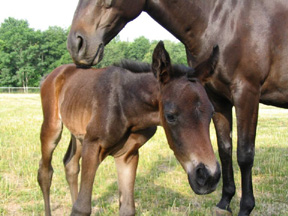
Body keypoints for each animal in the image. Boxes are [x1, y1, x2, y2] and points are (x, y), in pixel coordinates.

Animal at [38, 42, 220, 216]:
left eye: (212, 113)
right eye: (170, 116)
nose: (209, 176)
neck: (127, 106)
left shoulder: (127, 155)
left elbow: (127, 209)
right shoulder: (92, 146)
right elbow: (81, 208)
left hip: (78, 134)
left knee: (70, 165)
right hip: (53, 128)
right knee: (45, 173)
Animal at [66, 0, 288, 215]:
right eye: (170, 116)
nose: (76, 44)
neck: (222, 20)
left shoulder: (247, 92)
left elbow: (245, 154)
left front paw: (246, 207)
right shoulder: (218, 98)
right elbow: (225, 149)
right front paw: (225, 201)